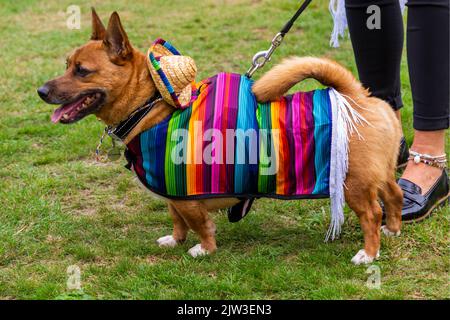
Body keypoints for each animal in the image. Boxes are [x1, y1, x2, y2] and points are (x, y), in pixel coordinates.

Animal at [38, 10, 402, 264]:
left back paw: (369, 253)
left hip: (353, 184)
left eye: (82, 71)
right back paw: (393, 229)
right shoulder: (174, 195)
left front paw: (204, 248)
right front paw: (175, 240)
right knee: (394, 195)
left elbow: (199, 224)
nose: (41, 91)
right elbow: (177, 219)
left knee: (372, 214)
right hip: (378, 175)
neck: (153, 106)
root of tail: (356, 95)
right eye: (67, 64)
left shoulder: (188, 195)